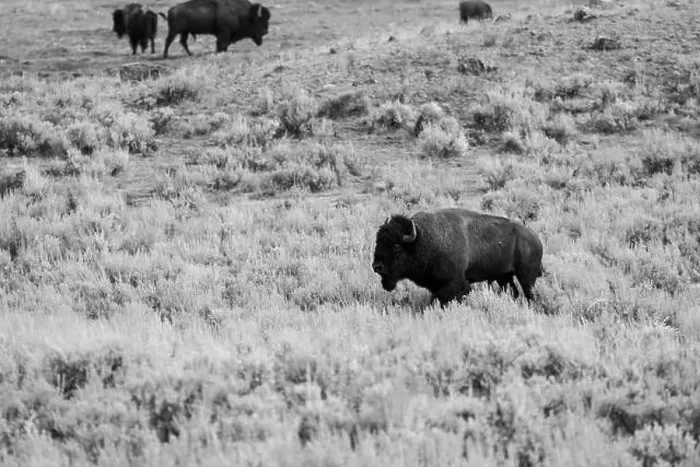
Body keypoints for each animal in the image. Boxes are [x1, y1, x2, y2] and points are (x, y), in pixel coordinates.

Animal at [371, 208, 543, 307]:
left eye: (396, 246)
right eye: (378, 241)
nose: (376, 266)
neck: (423, 238)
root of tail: (535, 238)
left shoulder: (455, 284)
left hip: (526, 276)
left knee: (529, 294)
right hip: (504, 277)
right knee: (514, 292)